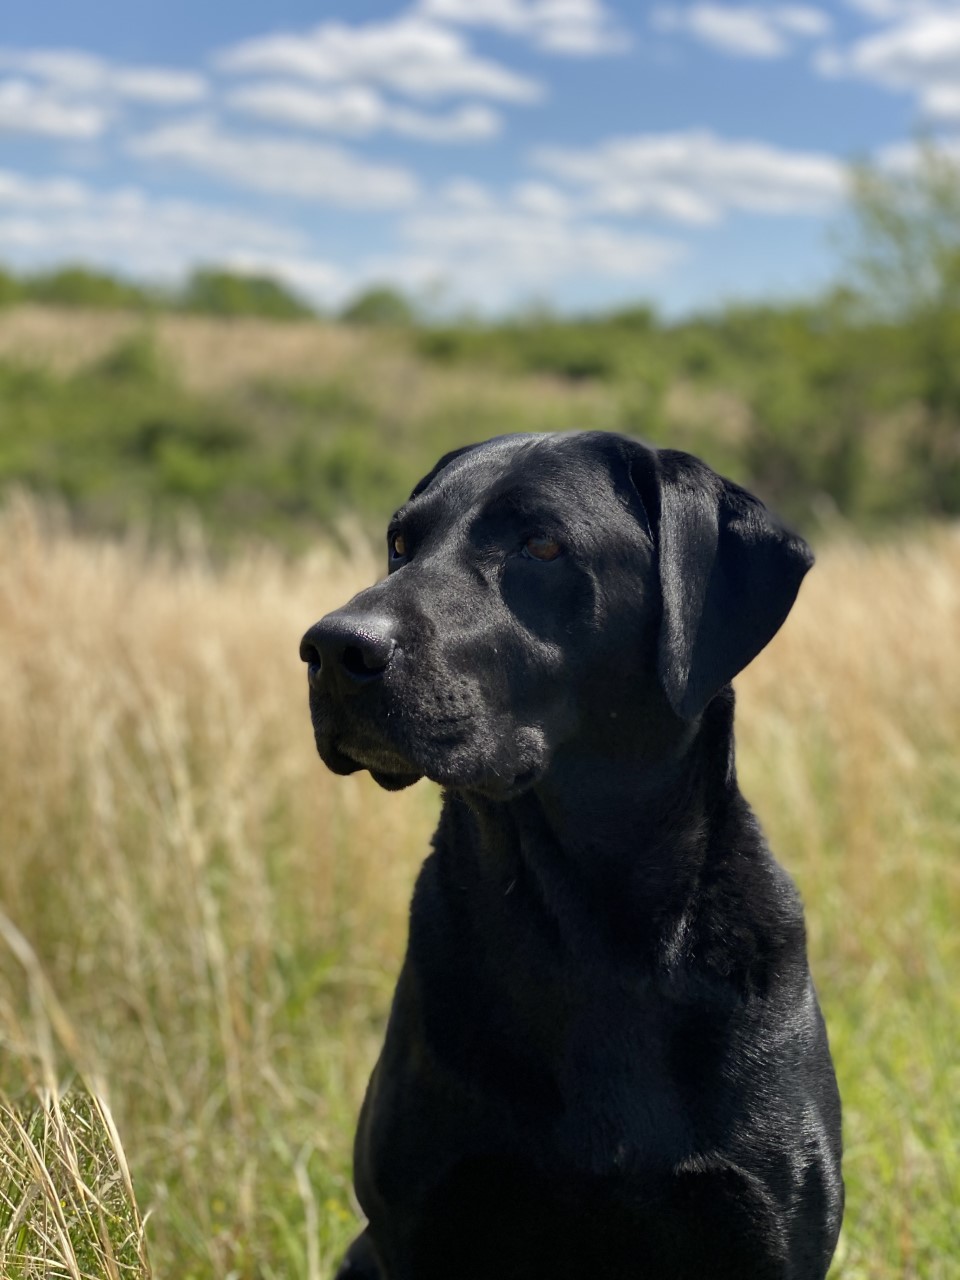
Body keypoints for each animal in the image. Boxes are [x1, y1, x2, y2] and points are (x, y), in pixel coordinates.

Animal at [300, 432, 839, 1280]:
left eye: (542, 546)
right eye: (401, 544)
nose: (331, 646)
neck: (591, 935)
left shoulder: (773, 1231)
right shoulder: (418, 1224)